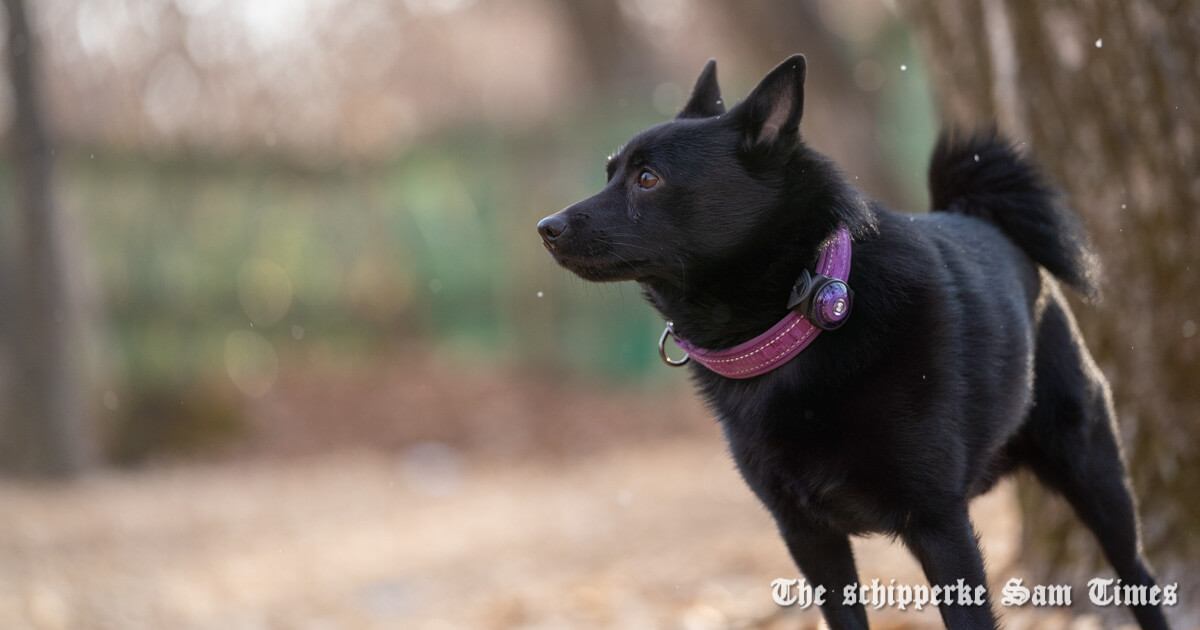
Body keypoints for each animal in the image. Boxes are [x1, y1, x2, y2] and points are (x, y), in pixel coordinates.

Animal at [537, 54, 1171, 628]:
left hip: (1096, 478)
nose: (547, 227)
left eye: (648, 179)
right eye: (610, 172)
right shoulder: (808, 537)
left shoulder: (939, 524)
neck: (805, 311)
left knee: (1139, 577)